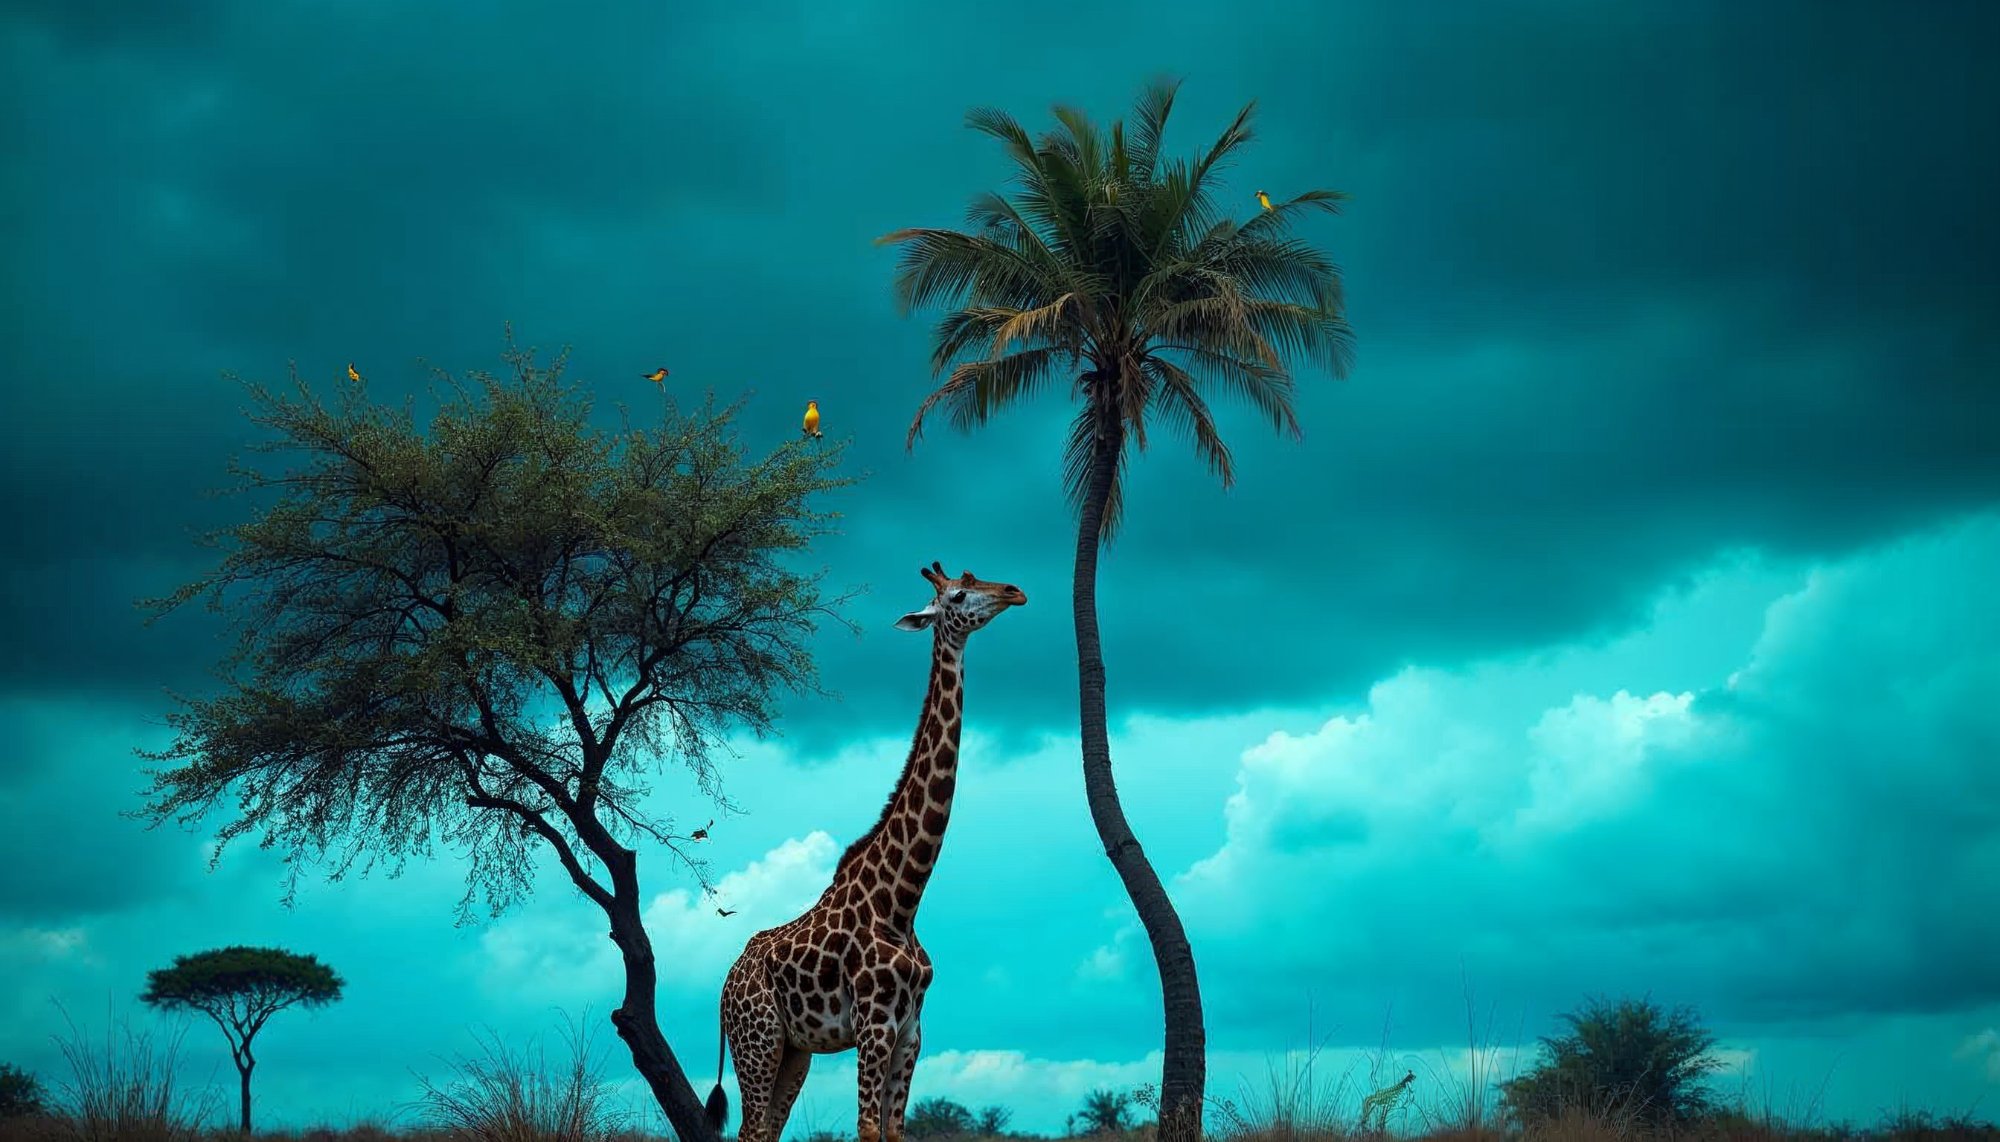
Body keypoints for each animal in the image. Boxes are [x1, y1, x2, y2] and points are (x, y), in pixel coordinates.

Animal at [704, 561, 1027, 1142]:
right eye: (958, 594)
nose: (1015, 591)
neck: (902, 900)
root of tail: (725, 984)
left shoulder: (911, 1031)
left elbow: (894, 1130)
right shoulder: (874, 1026)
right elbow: (868, 1128)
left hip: (795, 1051)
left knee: (768, 1128)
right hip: (756, 1040)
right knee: (751, 1129)